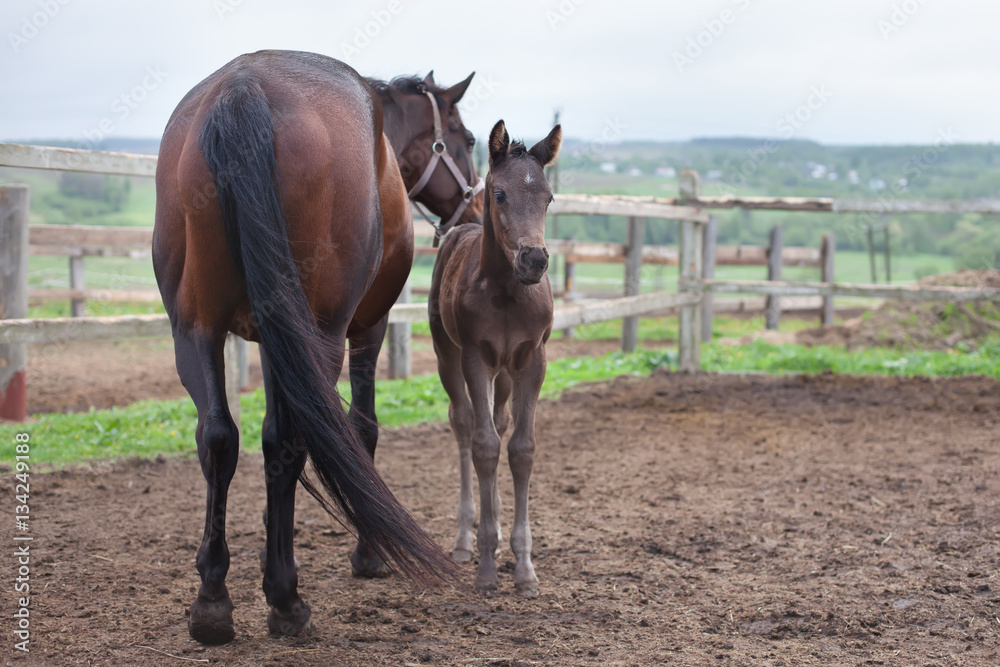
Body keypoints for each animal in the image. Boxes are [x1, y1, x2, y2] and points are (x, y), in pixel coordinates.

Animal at [152, 50, 464, 644]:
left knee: (219, 438)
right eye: (464, 138)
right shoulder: (367, 328)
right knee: (288, 442)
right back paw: (286, 599)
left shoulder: (270, 340)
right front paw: (368, 555)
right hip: (321, 332)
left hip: (194, 331)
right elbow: (362, 429)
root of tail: (243, 89)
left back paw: (213, 602)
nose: (476, 200)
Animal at [428, 119, 562, 596]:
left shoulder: (533, 359)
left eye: (548, 196)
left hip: (506, 372)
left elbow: (521, 449)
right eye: (499, 194)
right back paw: (465, 540)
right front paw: (486, 566)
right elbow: (485, 447)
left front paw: (525, 568)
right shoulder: (474, 358)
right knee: (466, 425)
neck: (506, 293)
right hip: (447, 355)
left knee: (500, 421)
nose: (534, 259)